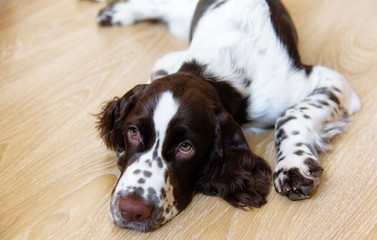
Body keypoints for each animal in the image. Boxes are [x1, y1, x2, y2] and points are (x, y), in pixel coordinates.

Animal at [93, 0, 358, 232]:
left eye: (186, 147)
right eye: (133, 132)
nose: (131, 210)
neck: (219, 71)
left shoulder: (327, 80)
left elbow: (290, 115)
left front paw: (293, 165)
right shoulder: (164, 65)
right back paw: (112, 13)